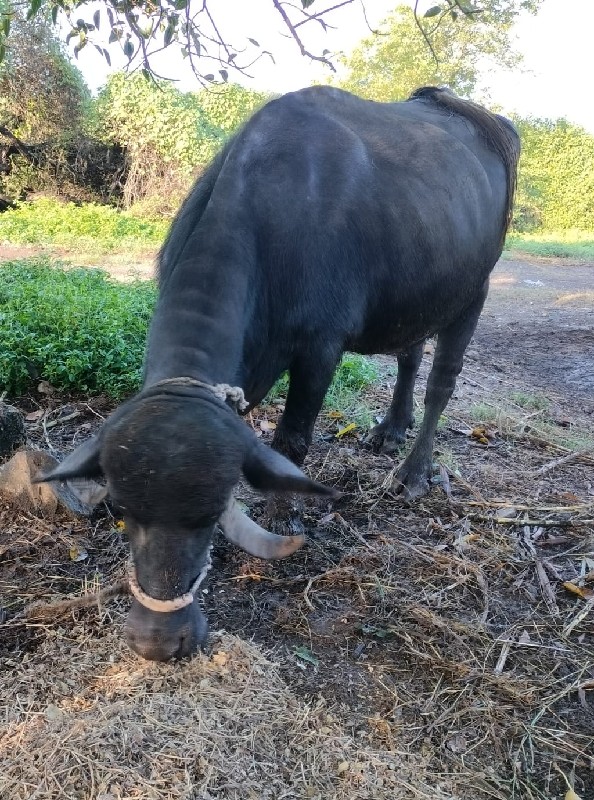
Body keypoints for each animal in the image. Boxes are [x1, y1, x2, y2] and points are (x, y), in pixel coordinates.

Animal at [38, 87, 520, 664]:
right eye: (125, 511)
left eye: (208, 516)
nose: (158, 642)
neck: (276, 217)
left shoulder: (320, 347)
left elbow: (291, 441)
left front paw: (284, 515)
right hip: (416, 295)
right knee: (409, 354)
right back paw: (390, 430)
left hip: (475, 291)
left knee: (441, 382)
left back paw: (414, 471)